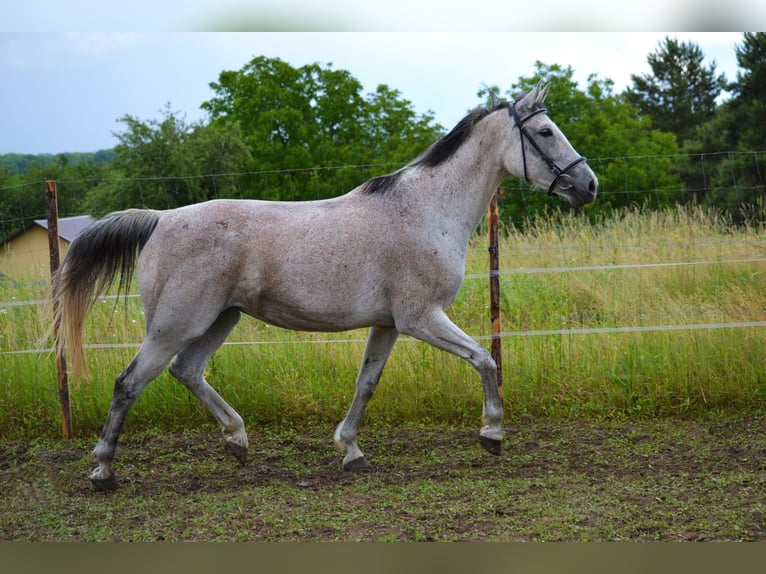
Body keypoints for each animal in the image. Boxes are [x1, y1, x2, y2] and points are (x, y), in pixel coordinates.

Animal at [54, 83, 600, 492]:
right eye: (546, 131)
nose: (589, 185)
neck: (427, 211)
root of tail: (161, 219)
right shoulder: (422, 318)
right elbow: (485, 360)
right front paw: (492, 434)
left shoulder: (389, 325)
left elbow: (367, 384)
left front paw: (351, 450)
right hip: (174, 325)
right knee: (129, 382)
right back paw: (103, 470)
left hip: (220, 319)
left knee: (186, 372)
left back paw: (238, 442)